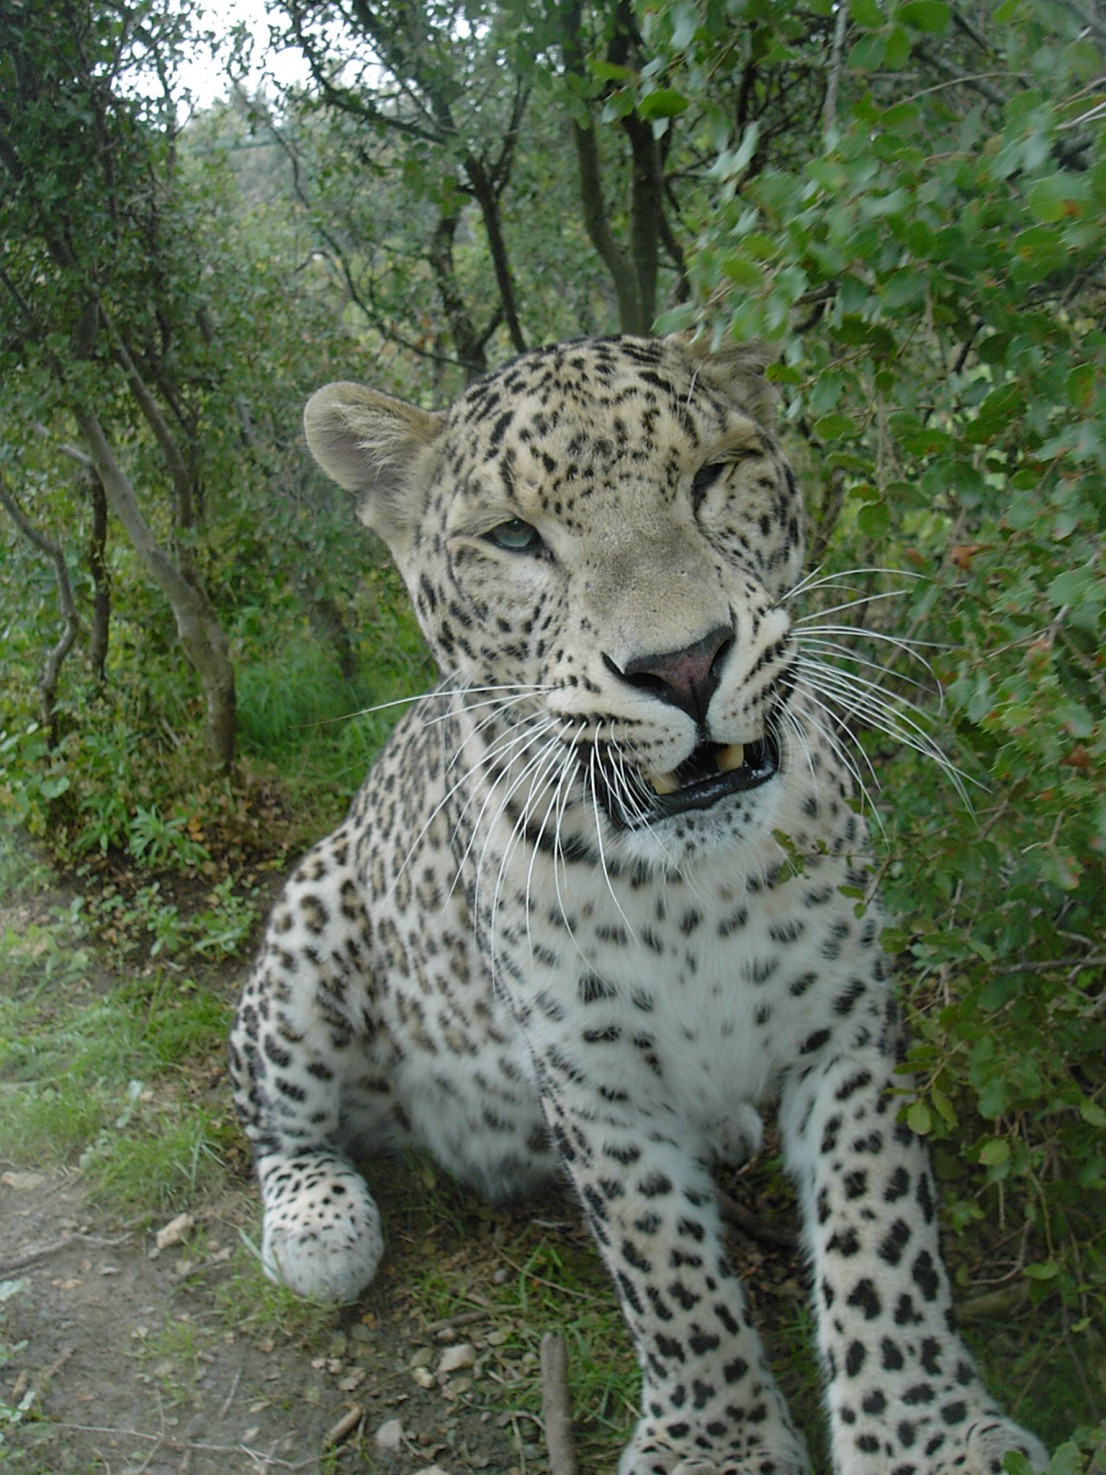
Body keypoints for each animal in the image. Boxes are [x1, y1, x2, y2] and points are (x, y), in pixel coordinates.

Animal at [231, 334, 1049, 1475]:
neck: (690, 894)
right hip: (313, 911)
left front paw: (922, 1432)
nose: (684, 663)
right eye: (514, 535)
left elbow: (882, 1230)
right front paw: (720, 1443)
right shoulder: (592, 1083)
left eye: (710, 474)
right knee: (274, 1111)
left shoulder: (848, 1023)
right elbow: (667, 1270)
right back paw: (319, 1225)